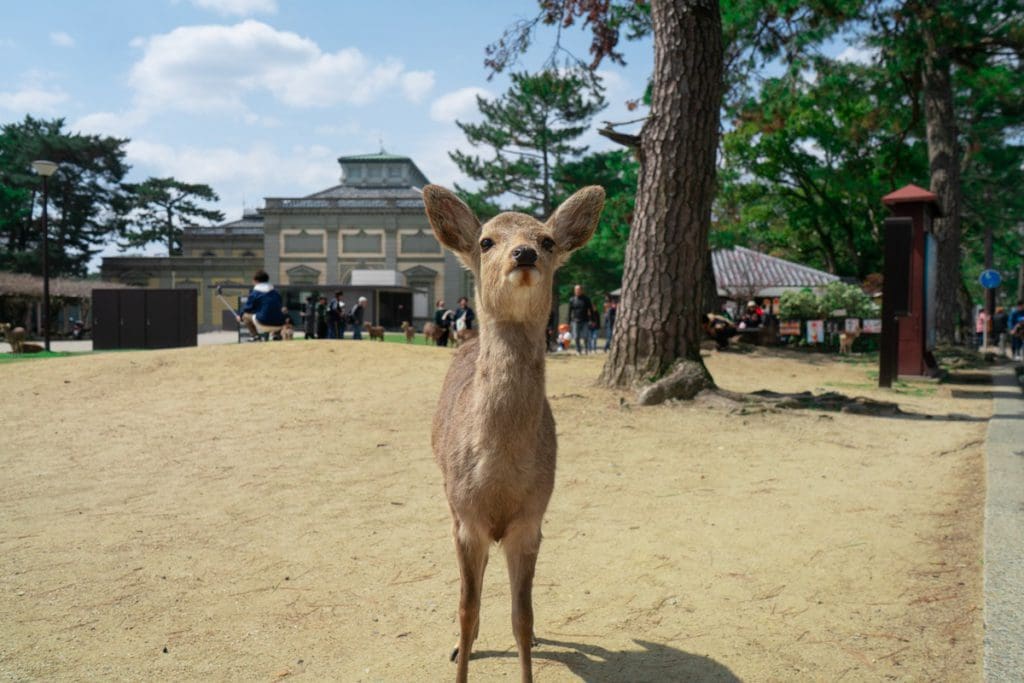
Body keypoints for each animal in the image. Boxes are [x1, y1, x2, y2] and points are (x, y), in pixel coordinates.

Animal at [419, 184, 602, 679]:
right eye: (486, 241)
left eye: (547, 240)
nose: (523, 253)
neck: (500, 476)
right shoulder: (467, 518)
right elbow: (466, 608)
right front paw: (461, 658)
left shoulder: (531, 519)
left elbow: (523, 616)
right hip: (447, 496)